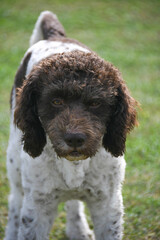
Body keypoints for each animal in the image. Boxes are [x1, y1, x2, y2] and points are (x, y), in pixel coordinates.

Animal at [4, 10, 138, 240]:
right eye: (56, 101)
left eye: (95, 103)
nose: (75, 139)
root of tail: (55, 36)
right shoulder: (37, 205)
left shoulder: (109, 203)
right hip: (14, 163)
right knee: (14, 201)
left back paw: (79, 230)